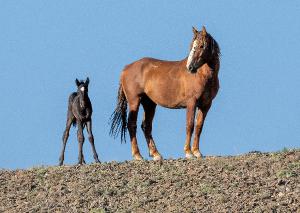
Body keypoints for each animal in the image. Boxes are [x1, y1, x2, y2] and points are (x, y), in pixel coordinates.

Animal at [110, 26, 220, 160]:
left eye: (201, 45)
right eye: (192, 46)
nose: (190, 67)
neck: (202, 76)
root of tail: (126, 68)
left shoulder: (206, 105)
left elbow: (199, 126)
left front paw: (197, 152)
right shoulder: (191, 103)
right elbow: (190, 125)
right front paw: (188, 152)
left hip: (149, 103)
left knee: (146, 126)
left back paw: (156, 154)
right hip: (134, 101)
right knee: (132, 124)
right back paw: (137, 155)